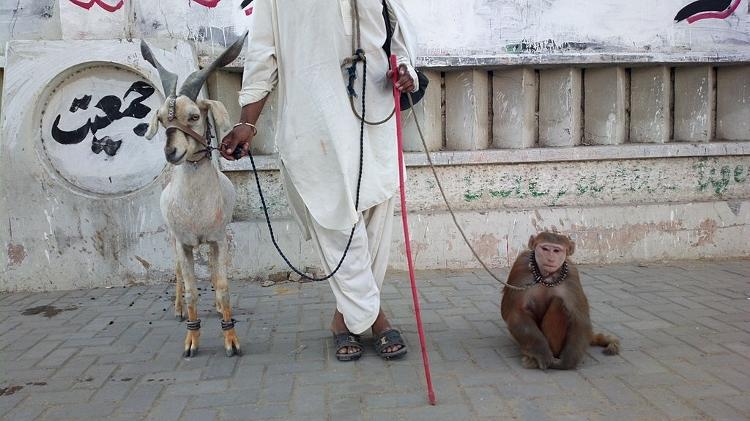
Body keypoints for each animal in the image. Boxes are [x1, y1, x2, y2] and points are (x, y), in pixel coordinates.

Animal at [140, 33, 247, 354]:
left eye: (194, 116)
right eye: (162, 119)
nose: (171, 152)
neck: (195, 206)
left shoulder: (218, 238)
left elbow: (223, 288)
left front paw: (231, 339)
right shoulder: (183, 243)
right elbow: (190, 291)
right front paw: (191, 340)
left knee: (211, 269)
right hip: (173, 238)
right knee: (177, 272)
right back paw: (177, 310)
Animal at [502, 231, 620, 370]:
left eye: (556, 250)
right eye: (545, 249)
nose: (550, 257)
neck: (546, 276)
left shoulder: (572, 275)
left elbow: (579, 318)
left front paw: (567, 361)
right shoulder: (521, 267)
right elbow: (516, 312)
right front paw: (542, 352)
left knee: (558, 302)